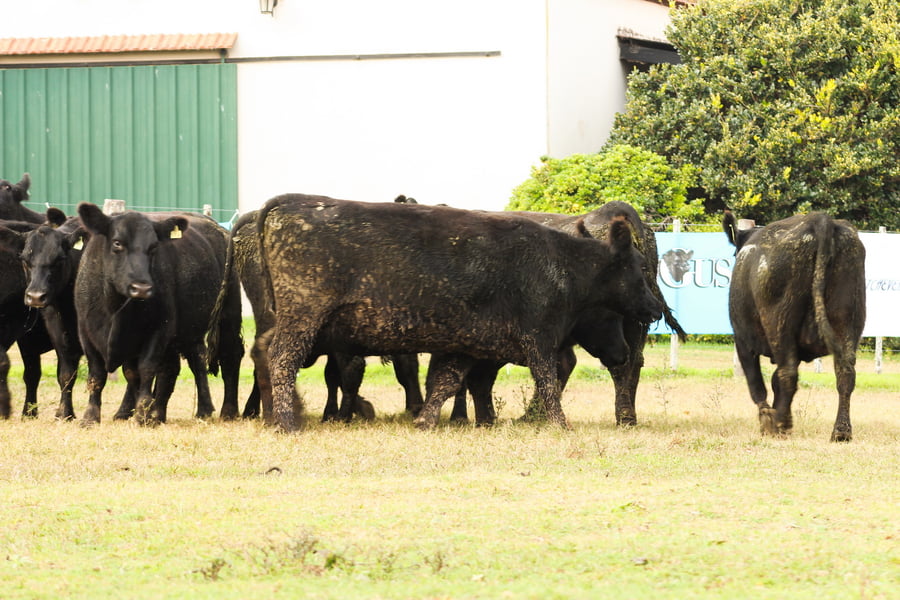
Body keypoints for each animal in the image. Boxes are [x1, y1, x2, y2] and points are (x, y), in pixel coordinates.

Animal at [74, 204, 243, 425]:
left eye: (153, 247)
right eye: (117, 243)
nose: (142, 288)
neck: (114, 309)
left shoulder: (159, 329)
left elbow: (146, 369)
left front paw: (142, 415)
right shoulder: (86, 332)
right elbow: (100, 375)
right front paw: (91, 417)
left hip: (228, 313)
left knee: (230, 355)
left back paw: (228, 411)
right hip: (187, 330)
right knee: (186, 363)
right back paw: (174, 412)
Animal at [256, 194, 663, 432]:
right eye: (639, 270)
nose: (657, 307)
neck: (560, 262)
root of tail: (296, 202)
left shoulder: (466, 344)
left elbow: (446, 382)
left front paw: (426, 420)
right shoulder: (539, 338)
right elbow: (547, 381)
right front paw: (560, 424)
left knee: (264, 352)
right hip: (302, 317)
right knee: (282, 360)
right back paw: (288, 422)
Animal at [723, 211, 866, 441]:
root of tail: (820, 219)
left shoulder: (742, 339)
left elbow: (757, 384)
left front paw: (767, 420)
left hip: (779, 324)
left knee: (787, 373)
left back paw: (781, 423)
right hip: (847, 320)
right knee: (845, 374)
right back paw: (841, 431)